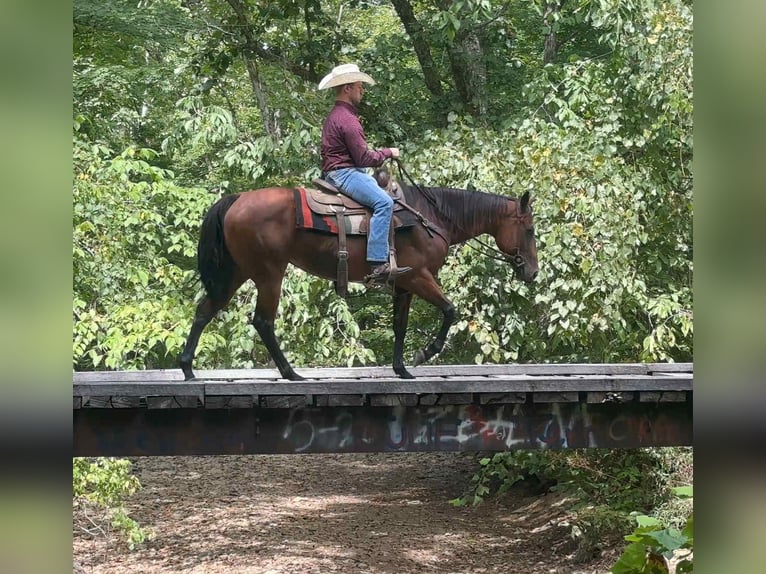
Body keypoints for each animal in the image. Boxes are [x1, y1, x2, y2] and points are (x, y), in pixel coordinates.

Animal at [179, 171, 539, 381]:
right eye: (530, 230)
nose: (532, 272)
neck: (431, 217)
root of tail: (237, 199)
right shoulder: (419, 277)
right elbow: (450, 310)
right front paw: (423, 354)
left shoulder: (403, 284)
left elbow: (399, 326)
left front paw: (402, 370)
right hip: (269, 274)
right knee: (263, 321)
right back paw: (291, 373)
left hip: (236, 272)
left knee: (204, 311)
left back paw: (187, 368)